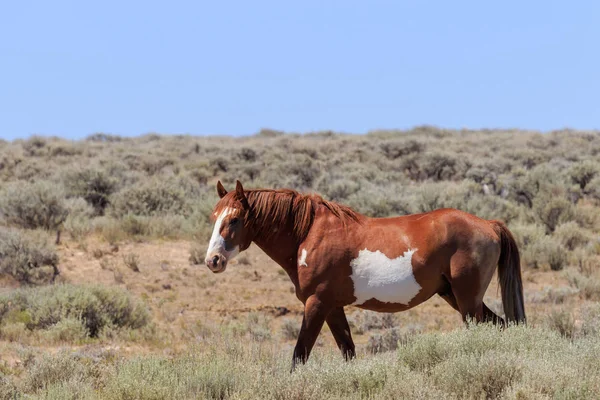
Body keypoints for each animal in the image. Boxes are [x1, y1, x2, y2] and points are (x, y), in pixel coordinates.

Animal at [204, 180, 524, 370]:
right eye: (214, 217)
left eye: (235, 219)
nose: (213, 260)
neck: (308, 234)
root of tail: (488, 224)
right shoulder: (332, 307)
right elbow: (348, 351)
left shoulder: (316, 304)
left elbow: (299, 354)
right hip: (454, 295)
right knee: (501, 325)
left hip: (466, 300)